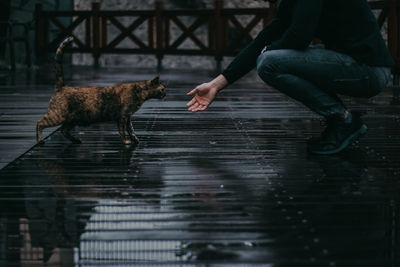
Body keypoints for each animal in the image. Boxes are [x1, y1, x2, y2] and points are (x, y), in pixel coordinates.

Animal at [35, 36, 165, 146]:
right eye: (162, 89)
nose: (165, 94)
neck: (138, 91)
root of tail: (62, 87)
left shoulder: (128, 117)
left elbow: (131, 130)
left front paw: (135, 139)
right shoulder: (122, 117)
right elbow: (122, 131)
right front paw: (126, 141)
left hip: (72, 119)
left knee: (63, 130)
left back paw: (76, 140)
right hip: (57, 115)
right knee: (40, 122)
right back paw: (40, 140)